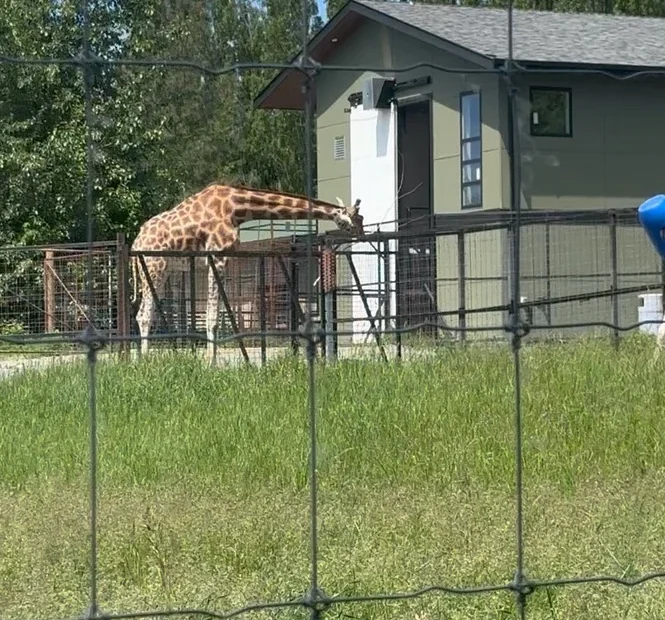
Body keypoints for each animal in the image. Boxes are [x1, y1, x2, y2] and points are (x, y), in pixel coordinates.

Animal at [130, 182, 364, 362]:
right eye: (358, 219)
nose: (361, 234)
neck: (236, 208)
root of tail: (135, 242)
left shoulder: (224, 260)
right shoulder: (217, 256)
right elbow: (213, 316)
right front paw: (211, 363)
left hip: (162, 270)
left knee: (145, 312)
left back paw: (142, 358)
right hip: (155, 267)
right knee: (143, 315)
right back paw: (144, 360)